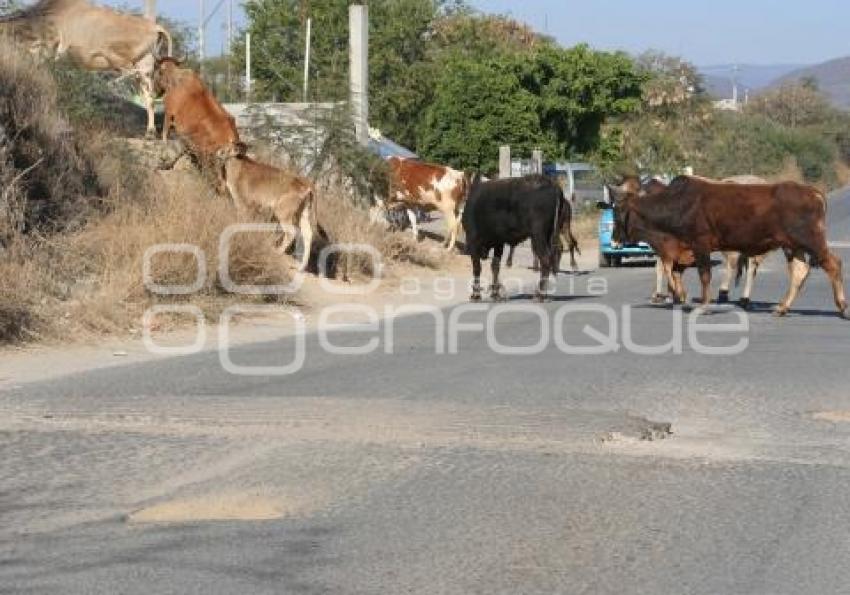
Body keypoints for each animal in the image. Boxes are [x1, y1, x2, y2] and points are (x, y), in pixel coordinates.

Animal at [215, 144, 314, 274]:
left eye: (228, 149)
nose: (218, 151)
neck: (239, 166)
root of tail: (307, 187)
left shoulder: (243, 204)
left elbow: (240, 222)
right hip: (303, 215)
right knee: (308, 234)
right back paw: (301, 268)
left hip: (283, 213)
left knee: (291, 232)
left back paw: (277, 252)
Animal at [608, 176, 840, 318]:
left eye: (618, 212)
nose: (614, 240)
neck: (678, 203)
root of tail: (813, 191)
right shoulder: (679, 252)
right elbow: (673, 272)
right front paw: (680, 298)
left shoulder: (699, 245)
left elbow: (703, 276)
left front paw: (703, 305)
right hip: (793, 246)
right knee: (800, 271)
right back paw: (782, 307)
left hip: (811, 240)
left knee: (834, 264)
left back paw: (841, 306)